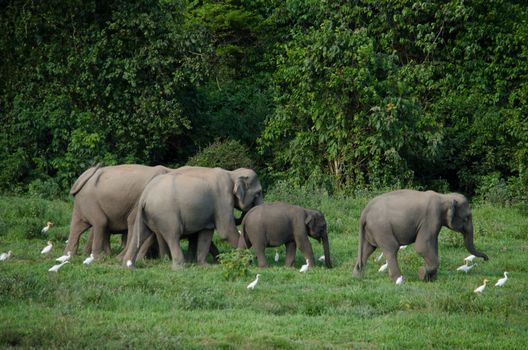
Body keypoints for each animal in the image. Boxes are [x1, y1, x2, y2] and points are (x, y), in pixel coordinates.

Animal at [124, 168, 264, 270]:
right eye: (258, 193)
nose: (245, 210)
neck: (232, 173)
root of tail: (145, 195)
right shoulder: (223, 199)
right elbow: (226, 231)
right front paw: (247, 261)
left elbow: (206, 233)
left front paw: (205, 265)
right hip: (166, 213)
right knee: (173, 235)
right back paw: (180, 267)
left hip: (147, 214)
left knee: (140, 234)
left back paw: (128, 266)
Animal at [352, 190, 488, 284]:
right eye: (467, 218)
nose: (486, 259)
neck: (444, 196)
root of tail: (365, 211)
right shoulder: (432, 217)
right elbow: (422, 247)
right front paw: (423, 274)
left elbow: (433, 245)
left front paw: (432, 279)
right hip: (382, 228)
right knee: (391, 249)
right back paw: (399, 280)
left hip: (372, 230)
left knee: (367, 249)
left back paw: (357, 276)